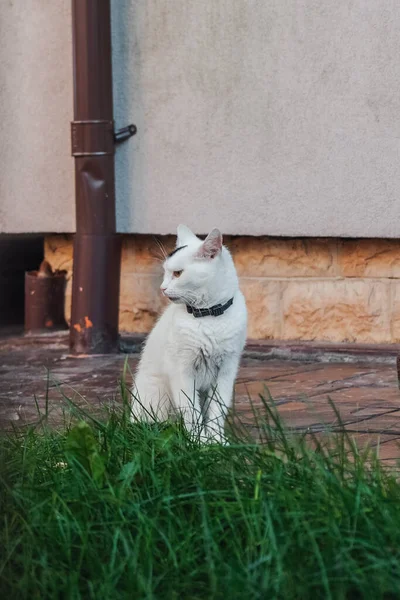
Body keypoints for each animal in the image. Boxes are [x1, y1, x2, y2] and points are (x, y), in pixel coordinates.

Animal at [132, 225, 247, 440]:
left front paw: (215, 439)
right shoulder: (182, 370)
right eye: (165, 272)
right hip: (156, 396)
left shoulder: (227, 369)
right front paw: (196, 440)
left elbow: (217, 409)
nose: (162, 288)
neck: (208, 317)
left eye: (178, 273)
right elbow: (190, 410)